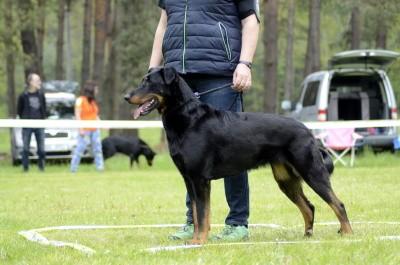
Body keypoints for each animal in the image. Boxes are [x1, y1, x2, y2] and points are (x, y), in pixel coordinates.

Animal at [123, 67, 352, 243]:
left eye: (148, 82)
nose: (126, 97)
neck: (187, 118)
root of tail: (308, 131)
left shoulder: (200, 179)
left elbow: (203, 214)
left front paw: (199, 241)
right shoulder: (188, 179)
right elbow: (196, 214)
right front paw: (195, 239)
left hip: (311, 172)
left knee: (338, 203)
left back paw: (347, 234)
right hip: (285, 179)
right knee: (309, 207)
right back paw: (307, 236)